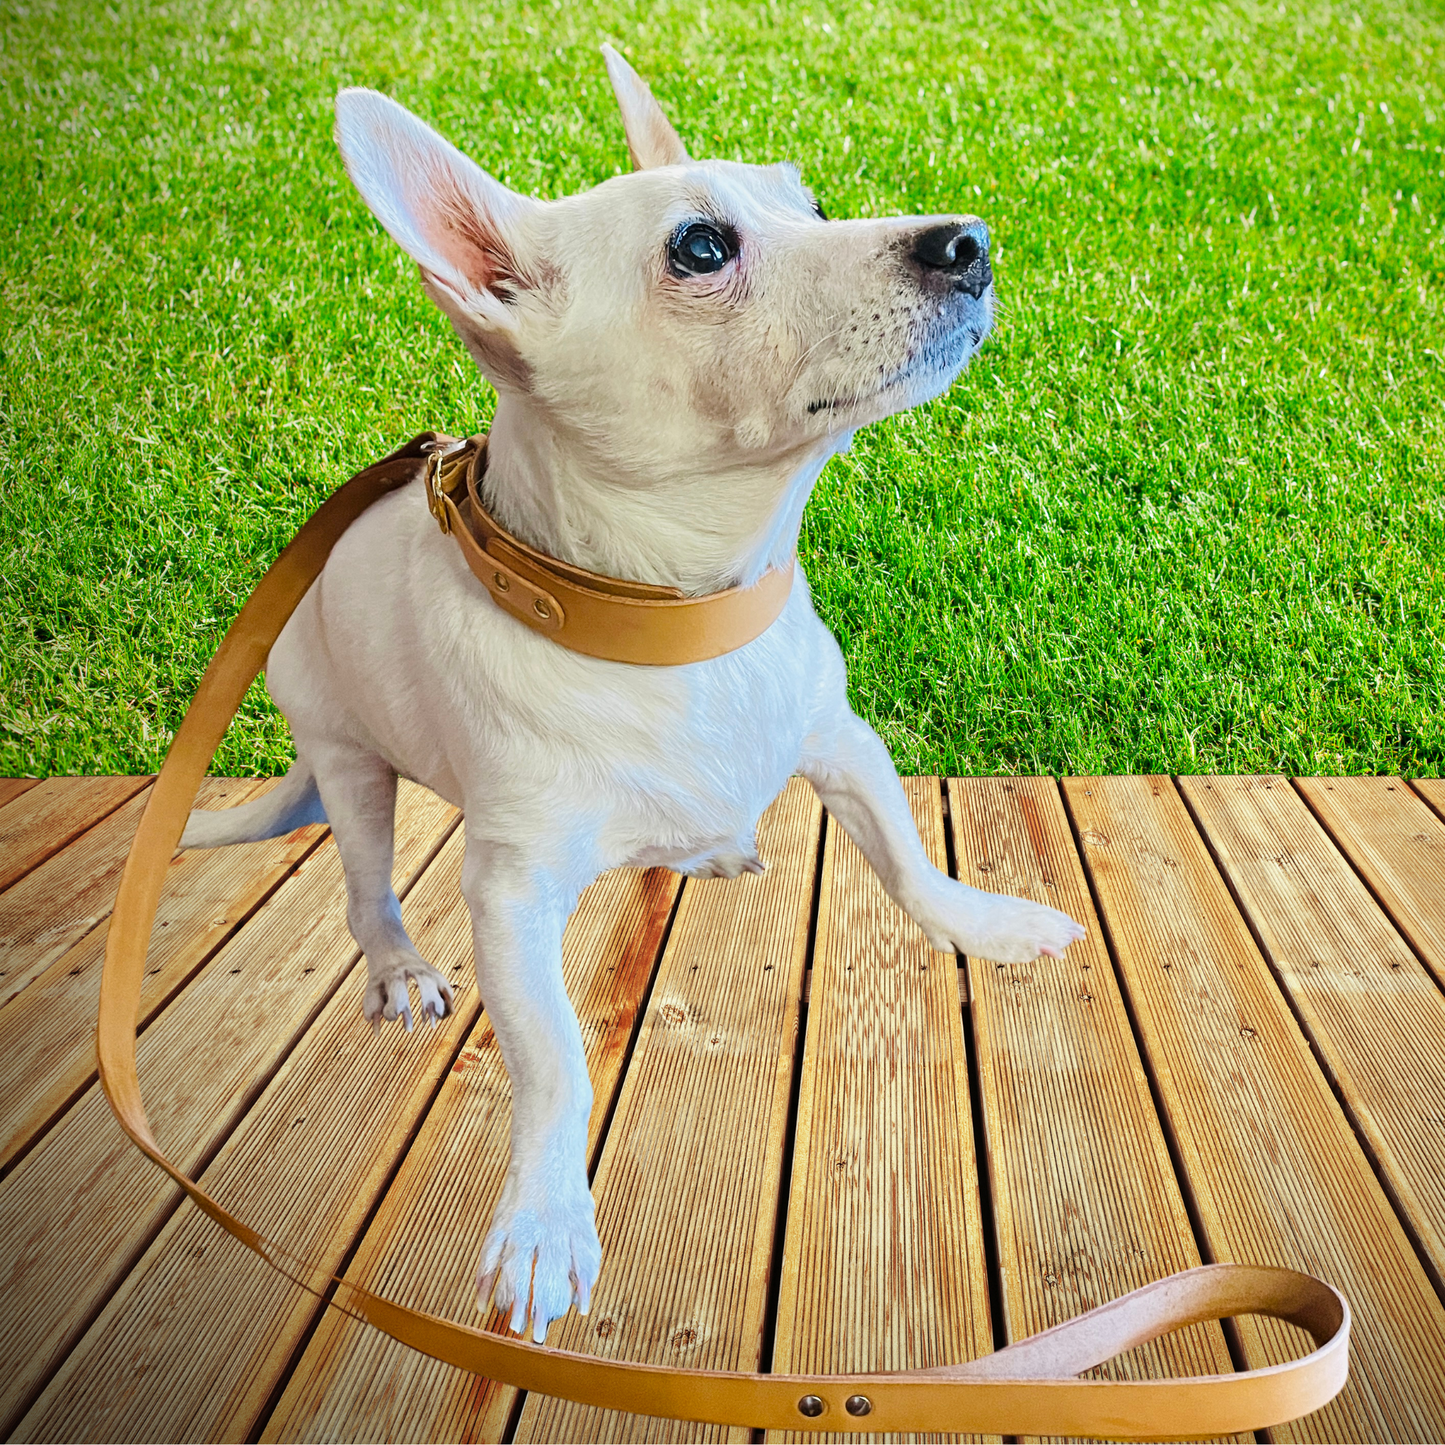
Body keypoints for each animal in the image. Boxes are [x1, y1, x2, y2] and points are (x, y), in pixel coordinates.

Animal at [180, 50, 1086, 1346]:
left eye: (809, 203)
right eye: (700, 248)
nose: (967, 240)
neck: (678, 632)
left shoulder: (843, 741)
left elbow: (909, 861)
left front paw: (987, 923)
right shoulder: (512, 895)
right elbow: (553, 1057)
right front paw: (545, 1220)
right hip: (347, 763)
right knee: (363, 887)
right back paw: (398, 967)